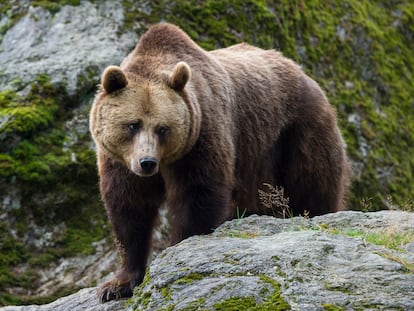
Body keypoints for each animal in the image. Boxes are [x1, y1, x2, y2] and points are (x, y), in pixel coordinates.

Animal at [90, 23, 350, 304]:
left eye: (162, 128)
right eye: (133, 124)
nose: (147, 162)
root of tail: (302, 72)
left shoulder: (202, 133)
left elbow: (198, 195)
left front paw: (178, 248)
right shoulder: (120, 161)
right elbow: (129, 209)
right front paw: (117, 284)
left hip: (295, 132)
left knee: (313, 185)